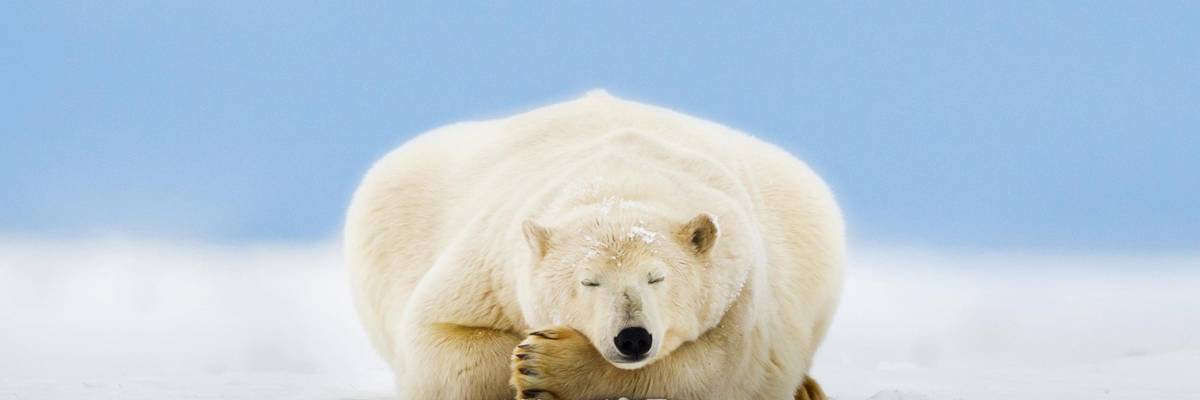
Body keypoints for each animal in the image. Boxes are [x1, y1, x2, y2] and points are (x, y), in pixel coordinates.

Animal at [344, 90, 844, 400]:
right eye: (589, 282)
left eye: (657, 278)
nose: (633, 337)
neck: (617, 177)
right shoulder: (490, 268)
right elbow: (439, 340)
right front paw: (525, 359)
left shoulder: (743, 287)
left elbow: (727, 369)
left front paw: (547, 365)